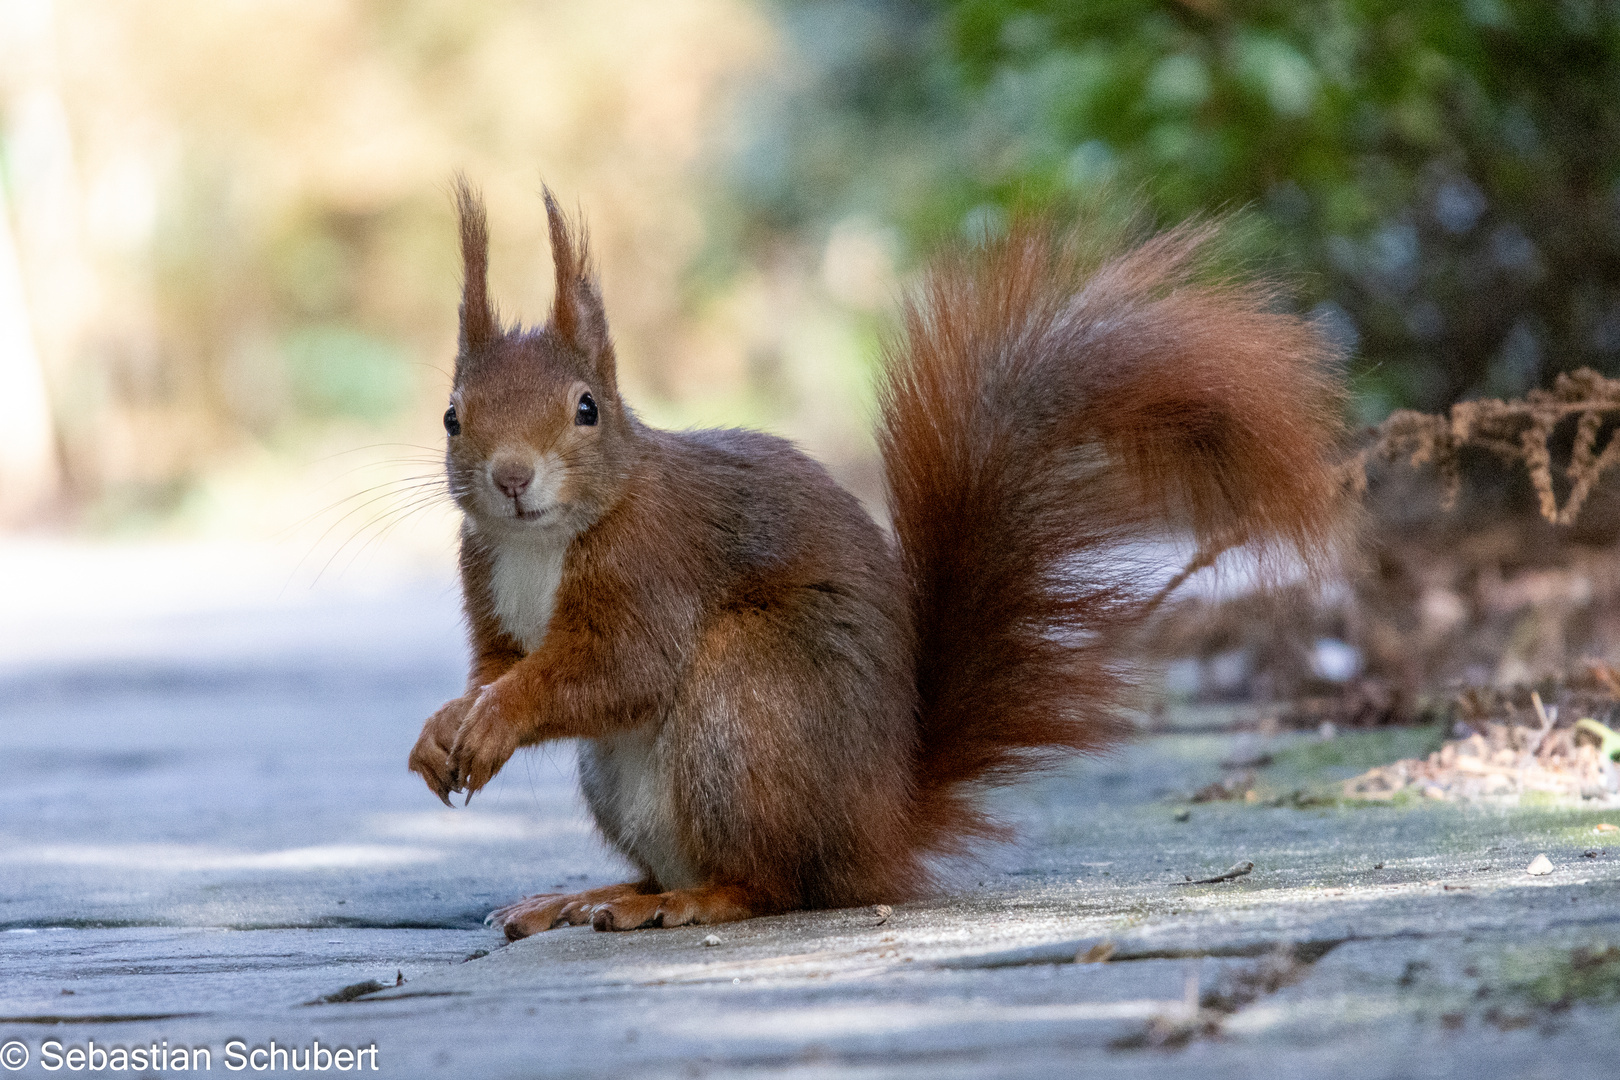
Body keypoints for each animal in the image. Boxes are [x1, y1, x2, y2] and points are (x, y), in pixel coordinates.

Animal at [405, 179, 1341, 939]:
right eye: (452, 416)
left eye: (587, 409)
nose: (512, 477)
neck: (541, 543)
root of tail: (878, 831)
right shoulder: (488, 579)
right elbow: (499, 663)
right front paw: (446, 724)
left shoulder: (653, 566)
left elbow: (616, 669)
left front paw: (495, 718)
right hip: (627, 778)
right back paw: (585, 896)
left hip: (750, 701)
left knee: (773, 886)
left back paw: (685, 901)